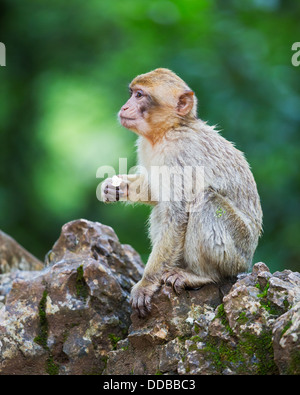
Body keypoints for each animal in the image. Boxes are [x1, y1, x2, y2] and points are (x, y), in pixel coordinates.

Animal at [102, 69, 262, 318]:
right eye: (132, 93)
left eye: (139, 95)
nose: (125, 107)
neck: (168, 131)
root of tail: (248, 259)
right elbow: (156, 192)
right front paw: (117, 188)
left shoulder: (180, 154)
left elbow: (176, 214)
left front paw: (146, 283)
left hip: (238, 252)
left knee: (205, 201)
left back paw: (201, 275)